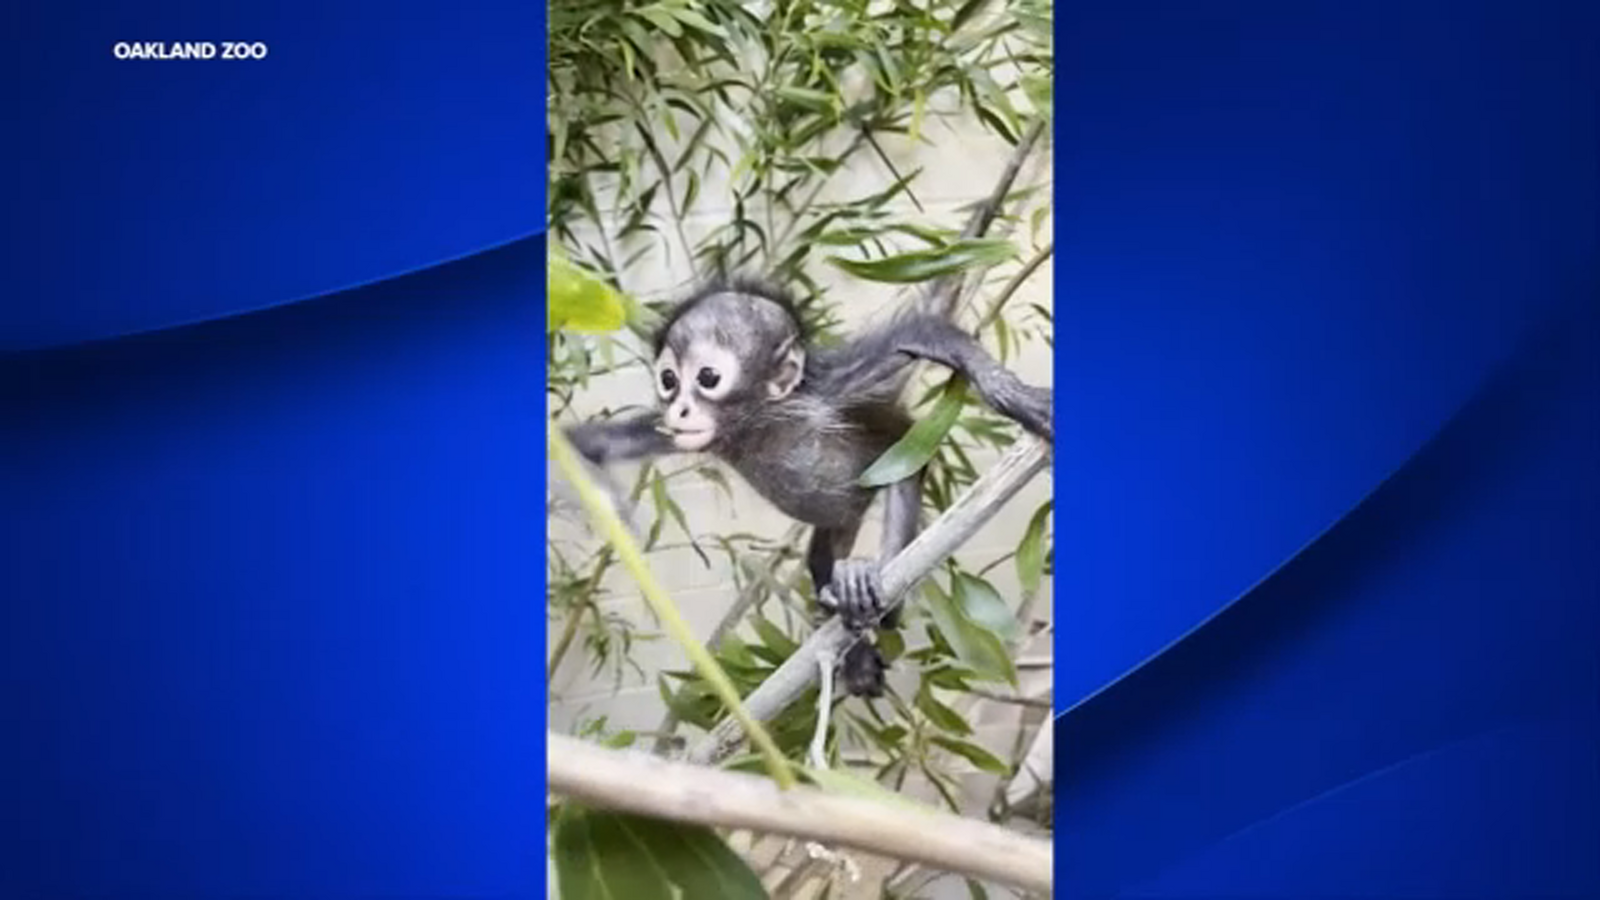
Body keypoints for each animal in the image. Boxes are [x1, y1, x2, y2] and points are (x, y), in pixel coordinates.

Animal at [564, 276, 1053, 698]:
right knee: (820, 560)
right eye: (668, 381)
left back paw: (878, 599)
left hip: (901, 458)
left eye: (707, 378)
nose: (680, 409)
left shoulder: (825, 393)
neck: (755, 426)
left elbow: (919, 332)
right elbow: (584, 445)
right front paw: (607, 506)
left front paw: (1009, 391)